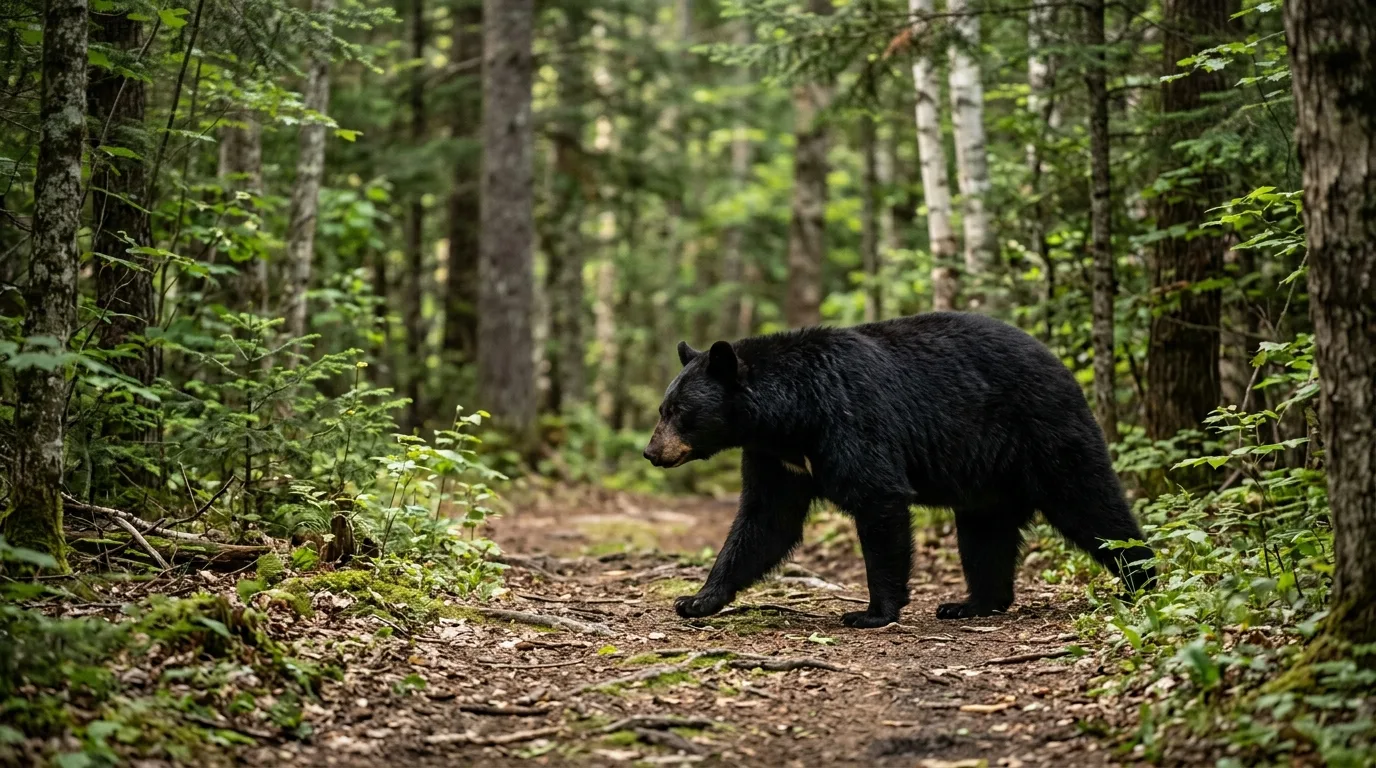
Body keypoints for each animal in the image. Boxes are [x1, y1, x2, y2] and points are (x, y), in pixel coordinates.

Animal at [642, 312, 1156, 628]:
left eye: (679, 411)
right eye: (664, 408)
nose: (651, 452)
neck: (791, 418)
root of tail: (1062, 365)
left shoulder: (851, 422)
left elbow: (879, 500)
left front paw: (872, 613)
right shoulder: (776, 458)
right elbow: (765, 521)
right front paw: (696, 599)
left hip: (1046, 434)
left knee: (1092, 505)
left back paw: (1142, 580)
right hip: (989, 477)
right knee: (984, 533)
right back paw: (972, 603)